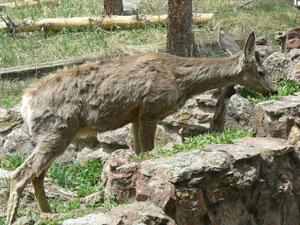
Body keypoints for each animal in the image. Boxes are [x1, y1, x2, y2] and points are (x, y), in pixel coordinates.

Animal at [5, 30, 276, 225]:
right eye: (262, 71)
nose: (273, 90)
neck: (180, 80)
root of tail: (26, 102)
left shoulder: (135, 115)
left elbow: (137, 152)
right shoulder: (150, 108)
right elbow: (147, 151)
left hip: (55, 135)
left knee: (36, 175)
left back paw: (49, 214)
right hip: (57, 130)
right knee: (19, 174)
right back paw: (14, 217)